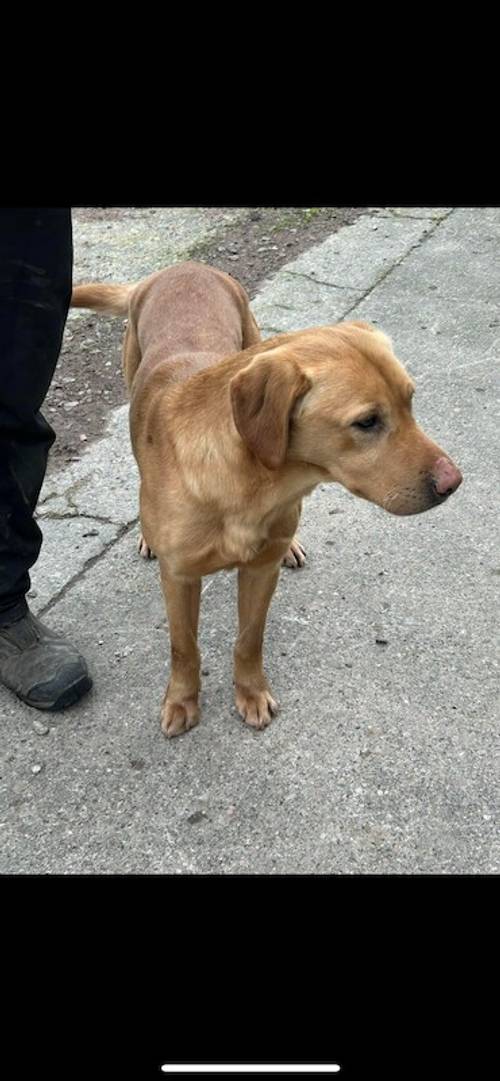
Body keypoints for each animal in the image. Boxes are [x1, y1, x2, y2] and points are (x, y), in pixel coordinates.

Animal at [72, 257, 464, 739]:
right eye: (367, 422)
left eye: (411, 400)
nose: (453, 482)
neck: (254, 484)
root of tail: (181, 266)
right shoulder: (179, 578)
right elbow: (184, 647)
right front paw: (182, 701)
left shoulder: (261, 570)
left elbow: (248, 639)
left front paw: (251, 692)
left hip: (252, 335)